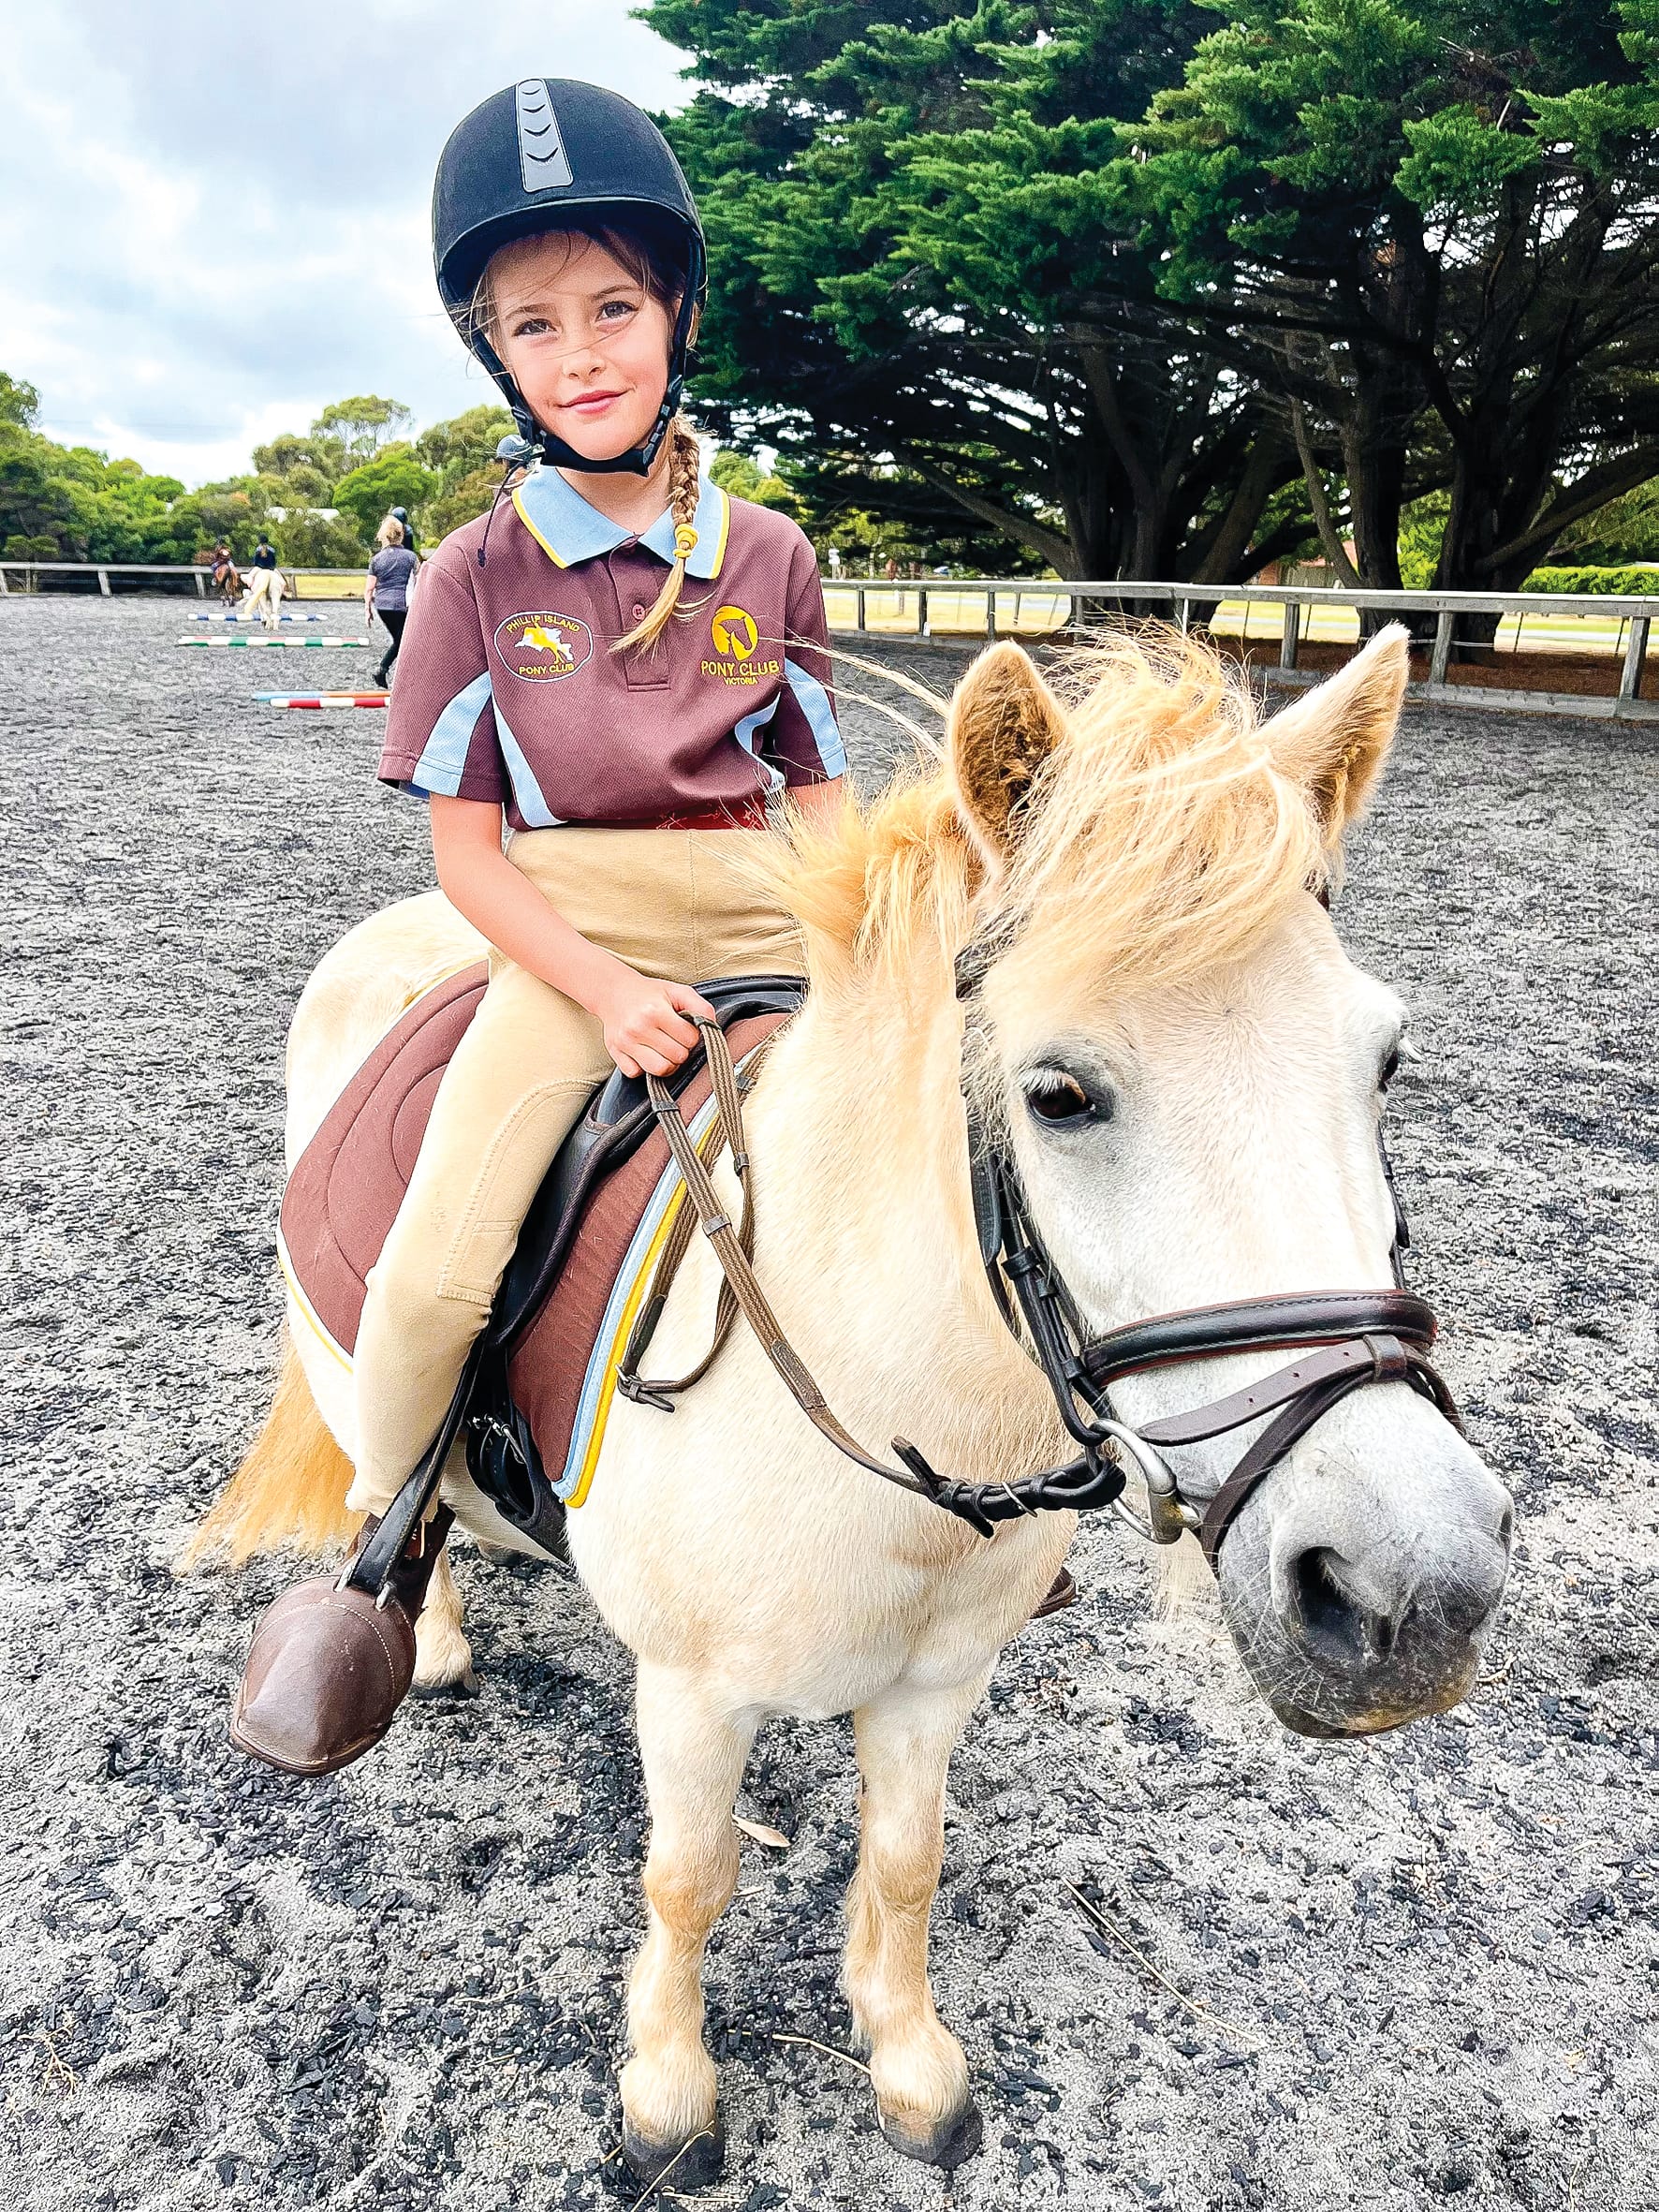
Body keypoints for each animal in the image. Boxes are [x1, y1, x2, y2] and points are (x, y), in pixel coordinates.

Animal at [193, 623, 1513, 2182]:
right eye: (1058, 1092)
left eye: (1385, 1060)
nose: (1408, 1589)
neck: (892, 1431)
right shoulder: (692, 1693)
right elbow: (690, 1877)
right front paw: (668, 2092)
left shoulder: (936, 1680)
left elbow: (905, 1858)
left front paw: (906, 2058)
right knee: (388, 1455)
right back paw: (424, 1627)